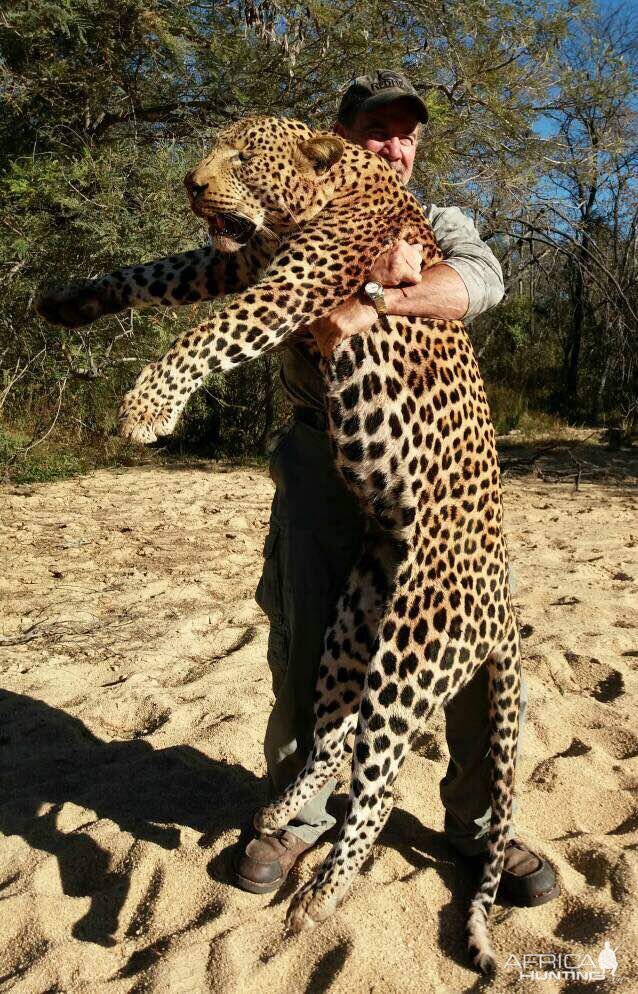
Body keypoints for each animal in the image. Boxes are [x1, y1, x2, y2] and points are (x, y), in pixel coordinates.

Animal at [36, 112, 524, 972]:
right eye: (213, 152)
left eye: (240, 156)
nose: (191, 183)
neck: (330, 184)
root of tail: (501, 602)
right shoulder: (240, 258)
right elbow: (152, 270)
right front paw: (71, 298)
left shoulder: (289, 284)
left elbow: (211, 329)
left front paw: (147, 407)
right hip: (355, 622)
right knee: (333, 734)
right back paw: (276, 815)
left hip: (415, 653)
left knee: (381, 779)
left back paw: (320, 894)